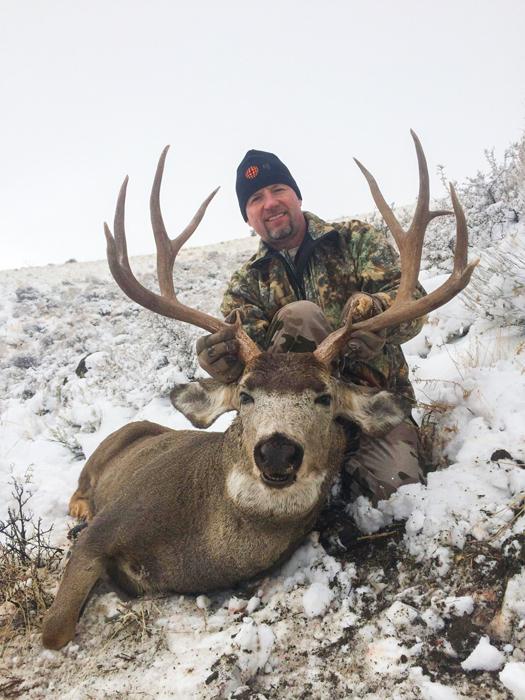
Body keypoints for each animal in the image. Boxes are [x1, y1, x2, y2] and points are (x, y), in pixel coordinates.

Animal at [42, 132, 478, 649]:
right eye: (246, 395)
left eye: (324, 397)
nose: (276, 451)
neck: (197, 546)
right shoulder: (104, 530)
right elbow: (53, 631)